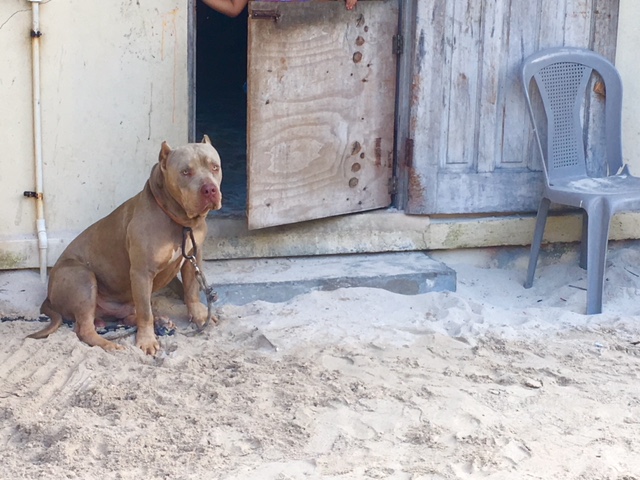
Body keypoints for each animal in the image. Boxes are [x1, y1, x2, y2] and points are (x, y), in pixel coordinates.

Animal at [28, 136, 222, 355]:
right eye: (185, 172)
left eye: (215, 167)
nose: (209, 189)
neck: (180, 221)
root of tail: (49, 295)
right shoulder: (141, 272)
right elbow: (145, 313)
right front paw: (147, 341)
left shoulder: (191, 259)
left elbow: (191, 292)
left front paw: (200, 317)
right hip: (82, 277)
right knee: (86, 329)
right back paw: (110, 344)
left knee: (130, 316)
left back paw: (160, 321)